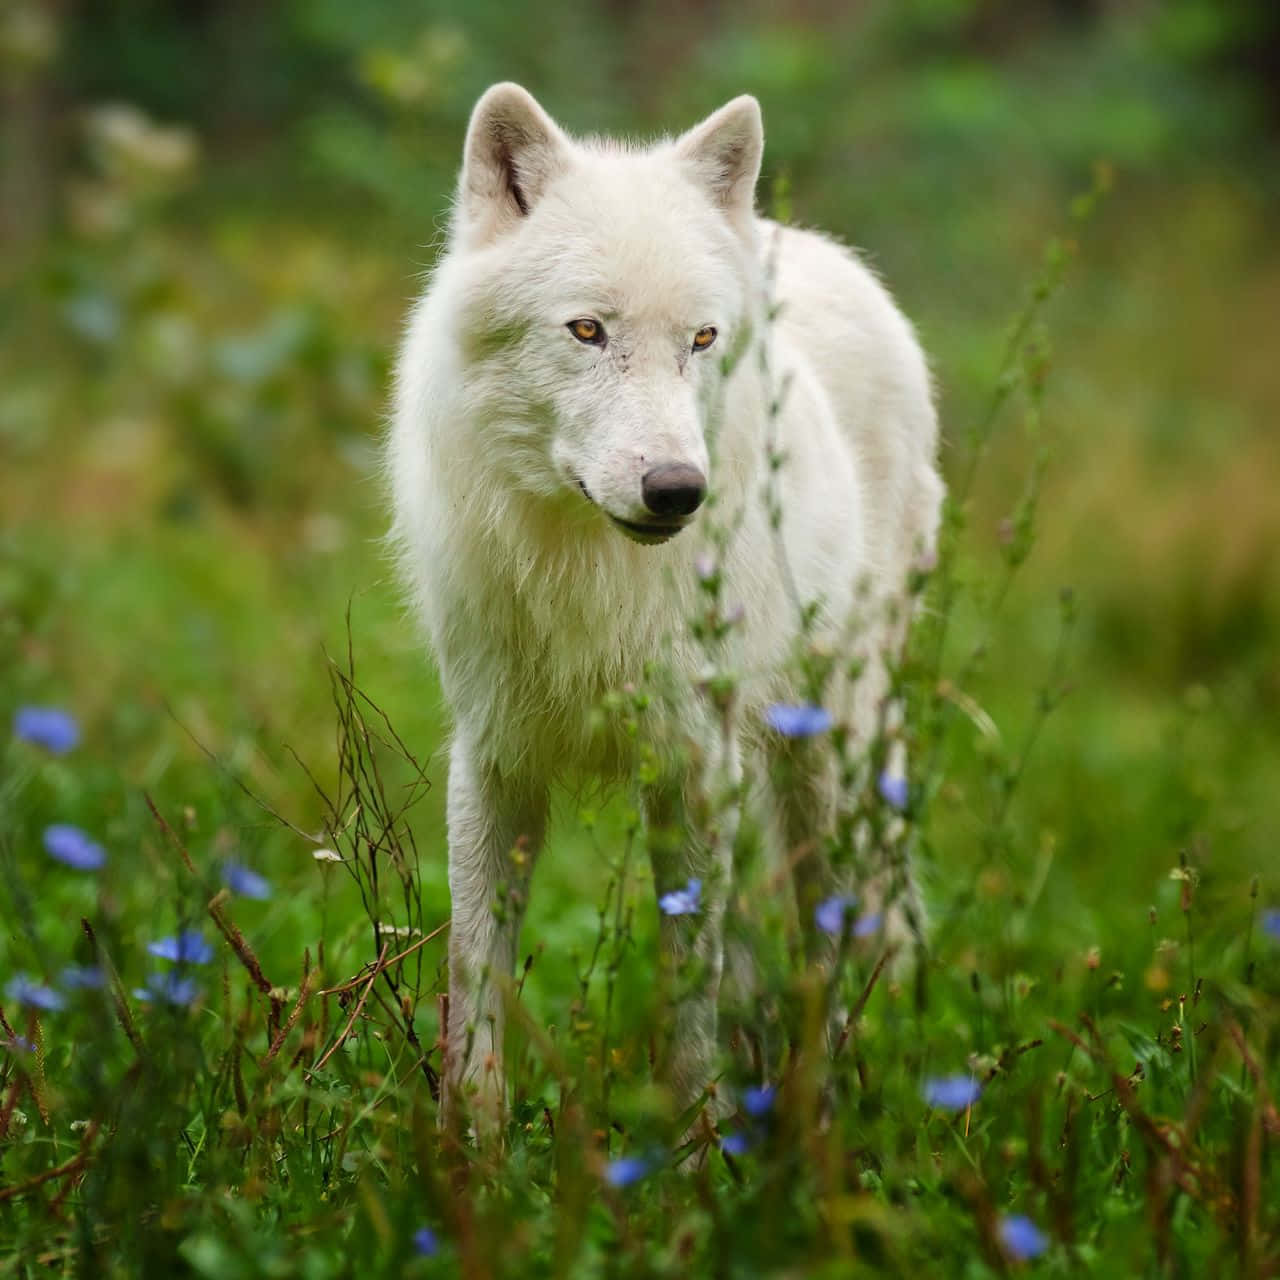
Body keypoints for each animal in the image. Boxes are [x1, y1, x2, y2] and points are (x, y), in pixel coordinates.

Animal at [386, 82, 942, 1131]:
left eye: (701, 340)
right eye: (587, 332)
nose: (678, 490)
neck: (588, 574)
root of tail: (802, 240)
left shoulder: (694, 762)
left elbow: (692, 984)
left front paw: (694, 1147)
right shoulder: (493, 757)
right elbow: (476, 974)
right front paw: (467, 1152)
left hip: (830, 757)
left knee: (832, 931)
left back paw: (831, 1092)